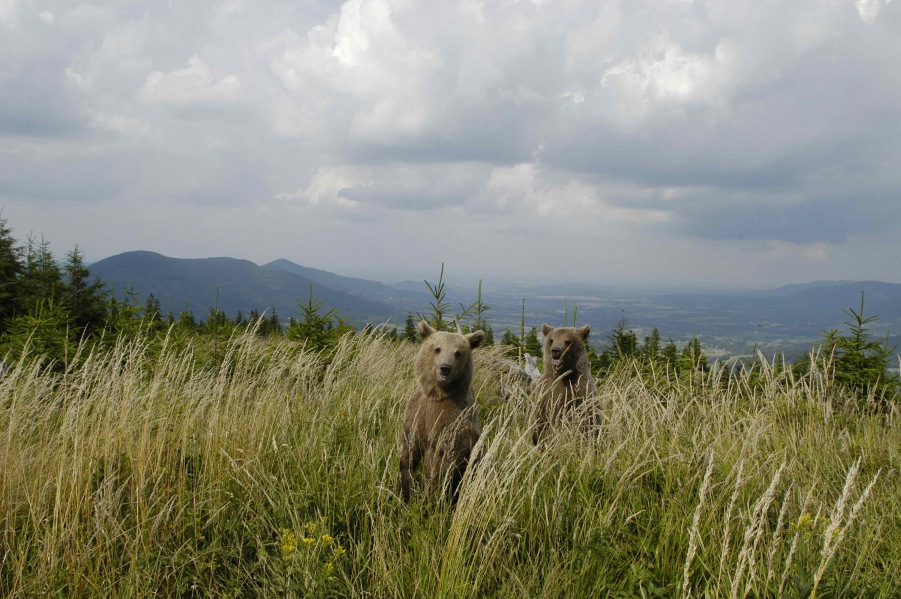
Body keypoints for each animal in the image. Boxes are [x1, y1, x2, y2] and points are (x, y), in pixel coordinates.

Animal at [399, 321, 485, 503]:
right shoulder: (418, 410)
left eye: (458, 353)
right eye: (437, 349)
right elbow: (409, 447)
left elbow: (440, 464)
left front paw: (428, 497)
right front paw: (405, 490)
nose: (445, 368)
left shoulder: (451, 421)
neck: (437, 393)